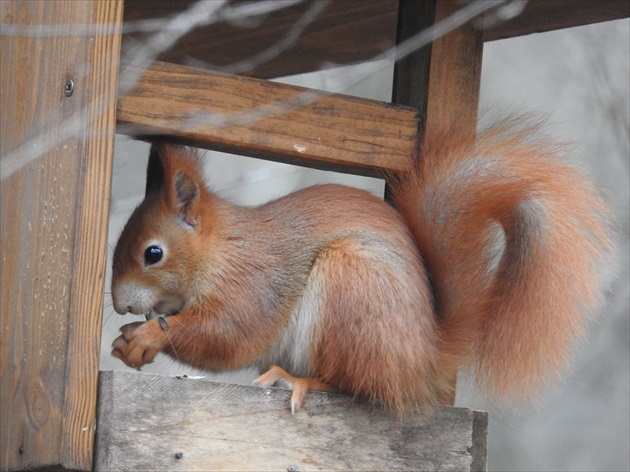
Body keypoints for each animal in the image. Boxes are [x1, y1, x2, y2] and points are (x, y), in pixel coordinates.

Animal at [112, 123, 612, 414]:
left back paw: (297, 380)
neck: (220, 250)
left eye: (152, 254)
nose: (118, 305)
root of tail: (425, 354)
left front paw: (151, 334)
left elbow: (228, 335)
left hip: (350, 286)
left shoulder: (254, 282)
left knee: (350, 385)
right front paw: (128, 338)